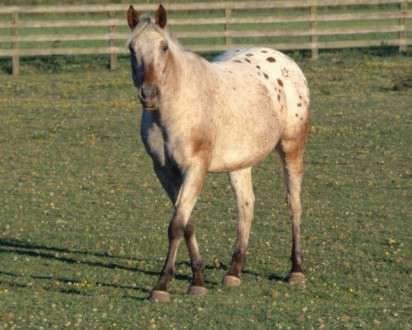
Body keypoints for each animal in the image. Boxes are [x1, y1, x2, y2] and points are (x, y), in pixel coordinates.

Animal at [127, 3, 310, 302]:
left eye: (163, 47)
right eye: (132, 48)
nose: (149, 94)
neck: (176, 107)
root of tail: (286, 62)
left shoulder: (195, 168)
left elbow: (176, 225)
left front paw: (162, 285)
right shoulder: (165, 172)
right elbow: (186, 222)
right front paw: (198, 280)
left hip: (291, 147)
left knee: (293, 203)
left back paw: (296, 270)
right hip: (240, 163)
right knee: (246, 205)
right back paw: (234, 271)